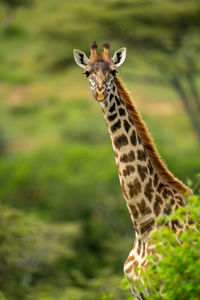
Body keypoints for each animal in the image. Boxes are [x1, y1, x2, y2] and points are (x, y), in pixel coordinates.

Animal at [72, 42, 193, 300]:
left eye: (114, 71)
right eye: (86, 72)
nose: (100, 93)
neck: (143, 224)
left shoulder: (168, 288)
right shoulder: (139, 292)